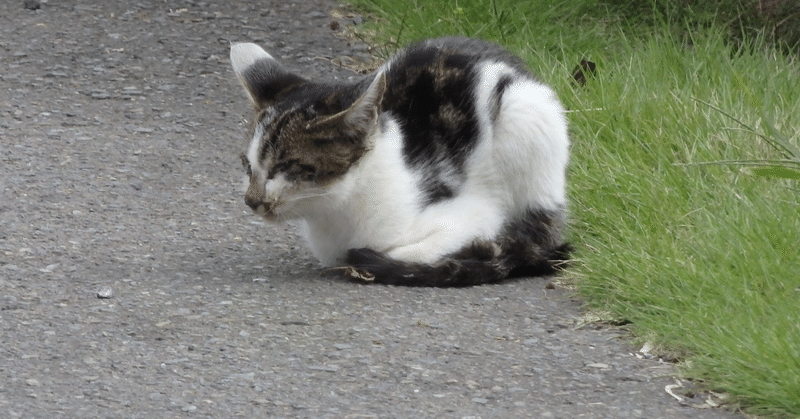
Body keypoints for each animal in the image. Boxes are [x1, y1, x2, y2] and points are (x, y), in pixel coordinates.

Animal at [228, 37, 572, 288]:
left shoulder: (477, 212)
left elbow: (409, 251)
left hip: (525, 110)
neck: (335, 212)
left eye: (284, 167)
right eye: (248, 166)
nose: (251, 200)